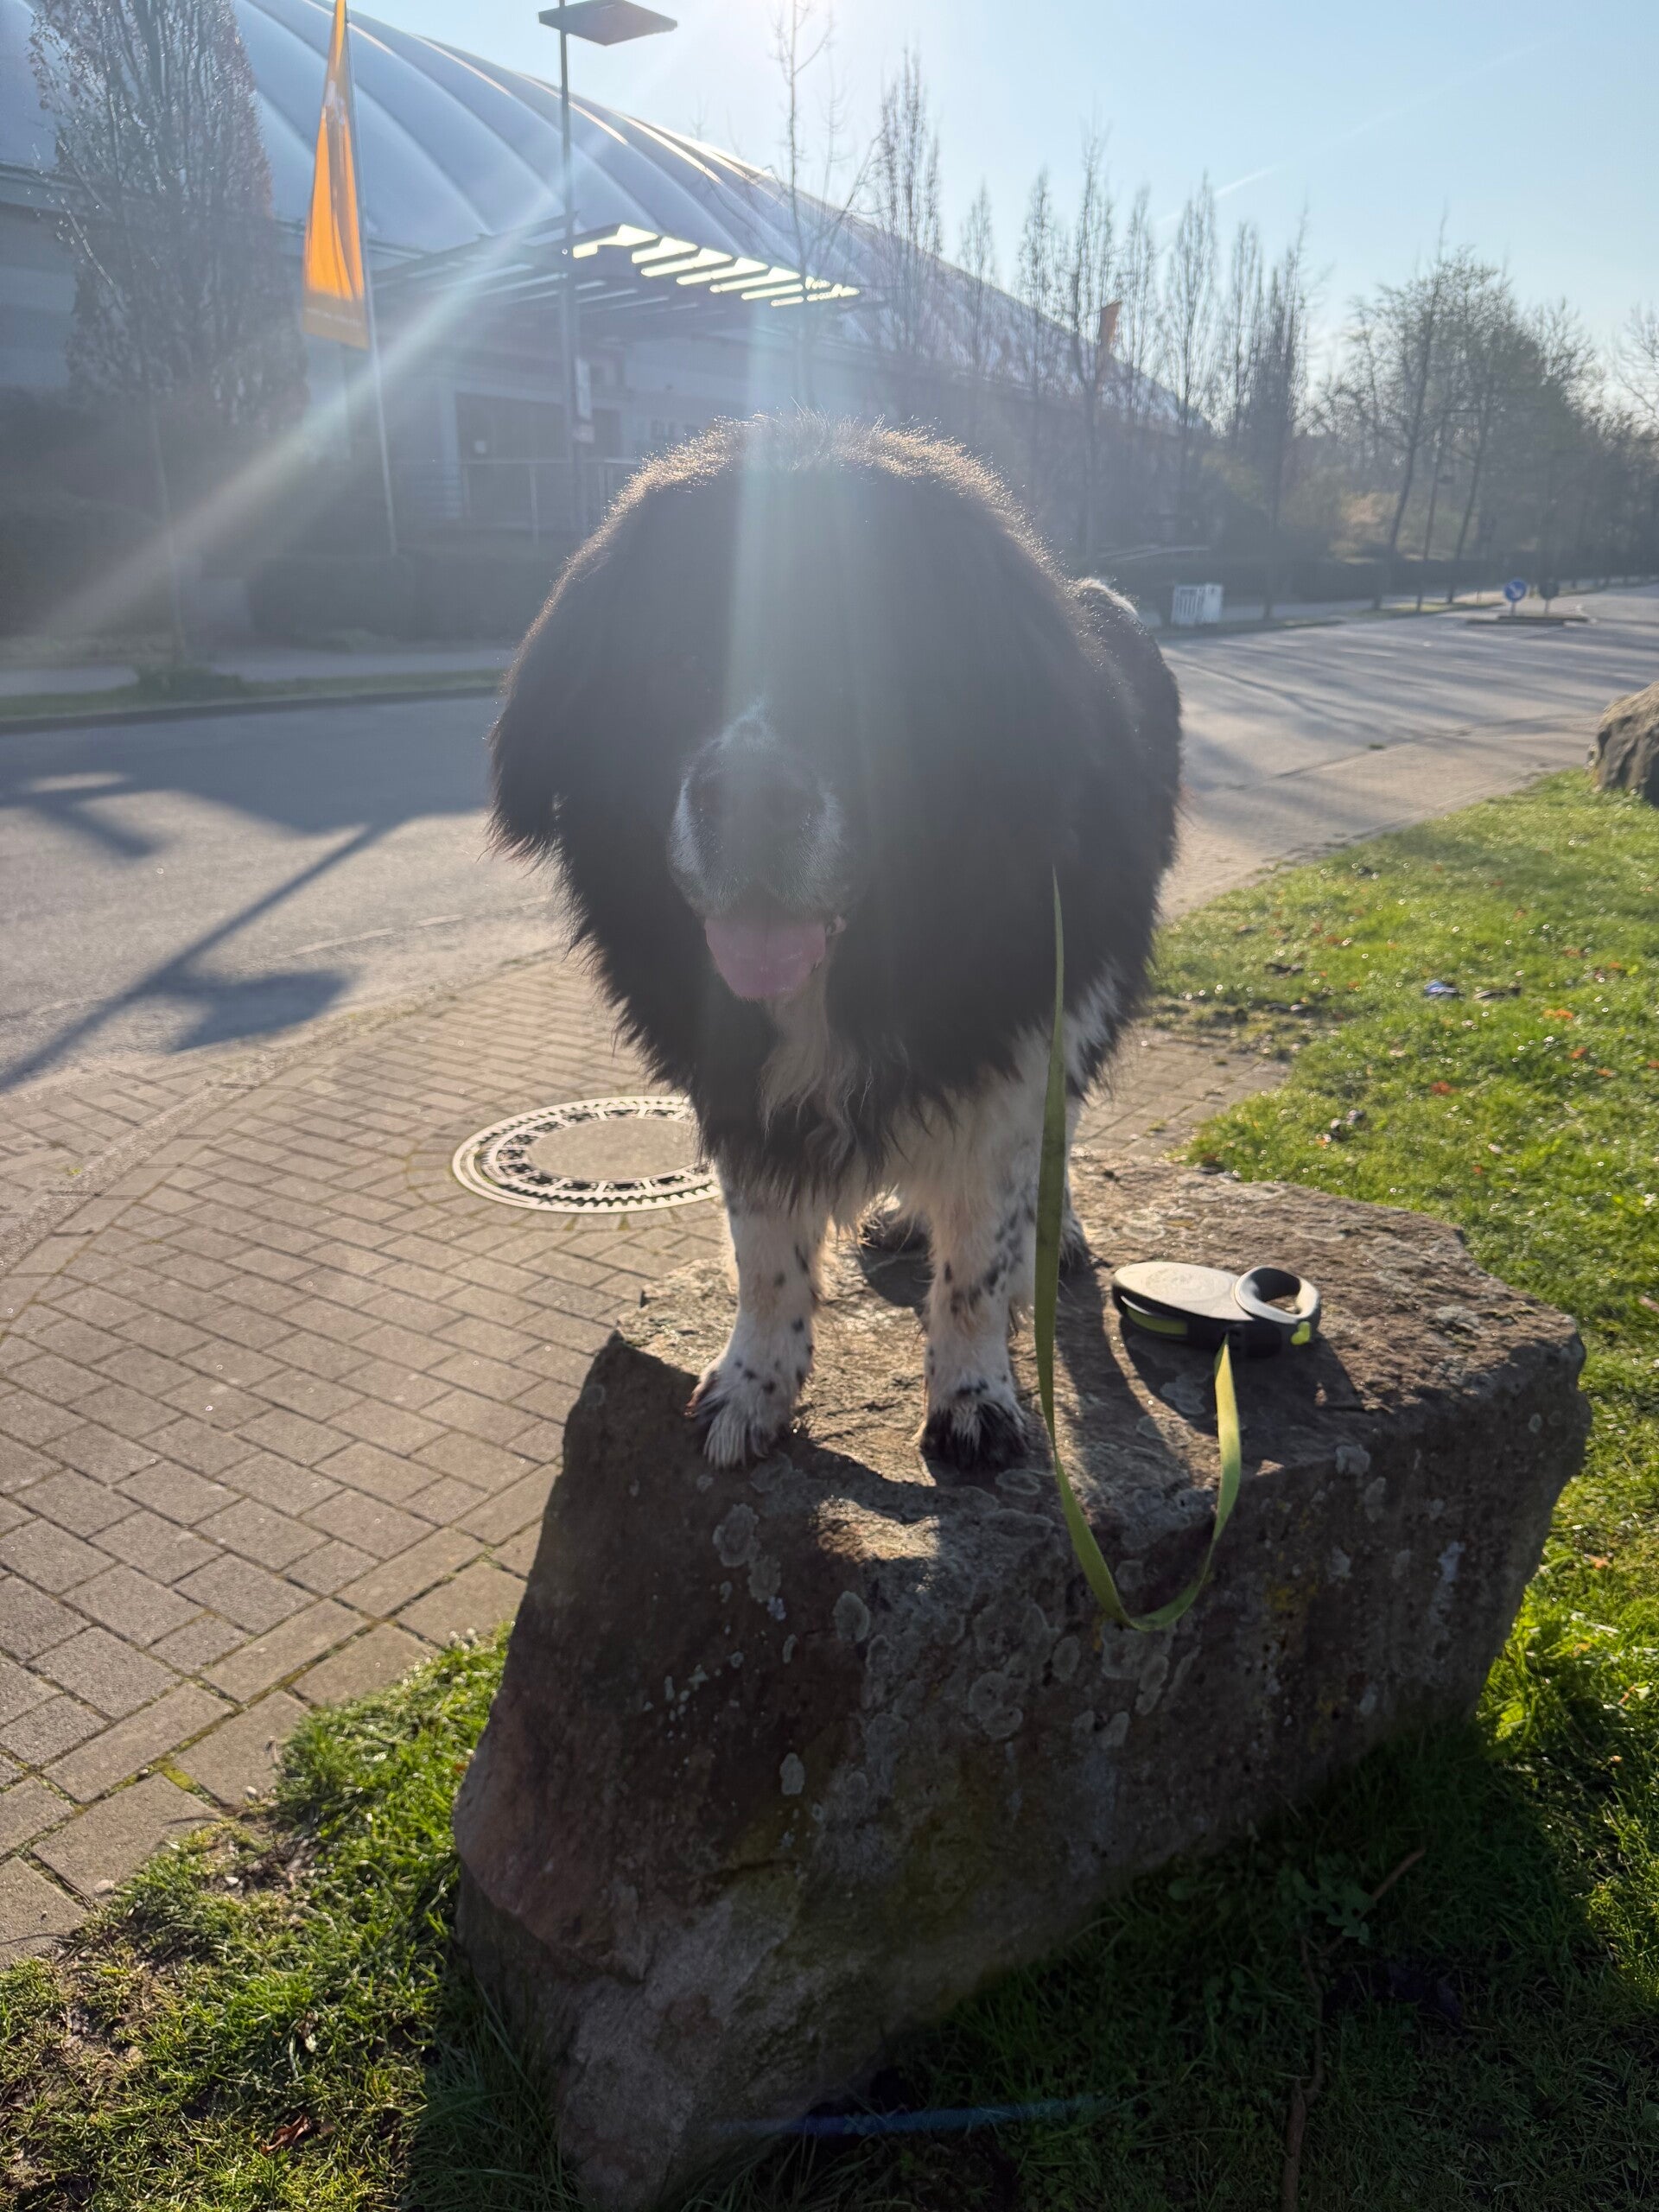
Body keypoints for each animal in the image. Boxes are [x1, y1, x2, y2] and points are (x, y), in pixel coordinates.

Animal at [490, 417, 1181, 1471]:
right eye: (674, 659)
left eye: (874, 663)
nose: (751, 795)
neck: (849, 976)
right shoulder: (734, 1082)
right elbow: (763, 1254)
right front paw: (754, 1386)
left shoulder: (1023, 1040)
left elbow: (979, 1256)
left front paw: (974, 1395)